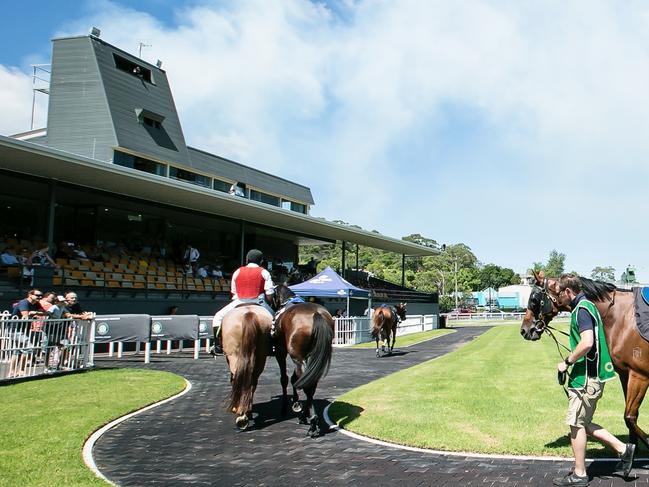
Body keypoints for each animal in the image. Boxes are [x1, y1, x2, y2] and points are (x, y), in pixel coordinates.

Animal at [270, 284, 334, 440]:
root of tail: (316, 314)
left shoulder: (281, 352)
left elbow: (285, 378)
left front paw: (286, 407)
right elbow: (296, 379)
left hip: (297, 357)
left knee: (307, 384)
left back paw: (312, 423)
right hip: (311, 356)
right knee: (311, 383)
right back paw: (308, 417)